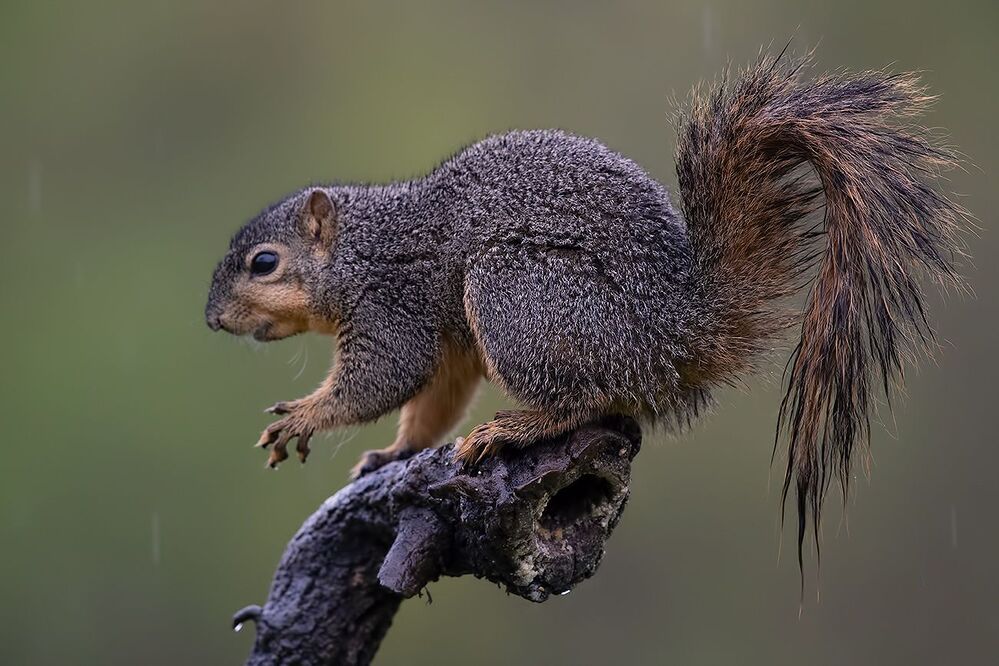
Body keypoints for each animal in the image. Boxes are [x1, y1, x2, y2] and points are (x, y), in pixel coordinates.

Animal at [205, 52, 966, 552]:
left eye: (264, 263)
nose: (212, 319)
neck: (360, 250)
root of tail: (676, 333)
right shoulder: (447, 338)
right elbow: (434, 398)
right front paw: (394, 451)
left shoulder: (395, 302)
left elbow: (384, 376)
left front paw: (304, 415)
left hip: (518, 294)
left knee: (582, 400)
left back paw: (515, 428)